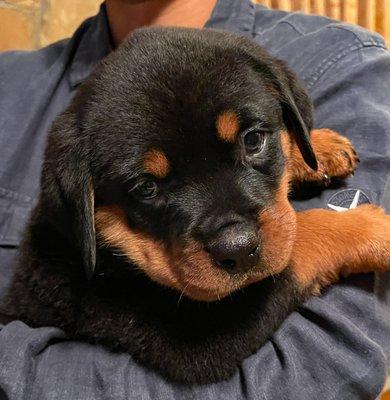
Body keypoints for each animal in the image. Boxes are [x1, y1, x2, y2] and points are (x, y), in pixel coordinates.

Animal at [3, 28, 390, 384]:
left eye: (253, 140)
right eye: (146, 188)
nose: (239, 250)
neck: (114, 256)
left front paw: (318, 148)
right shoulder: (201, 338)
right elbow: (300, 246)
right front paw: (370, 229)